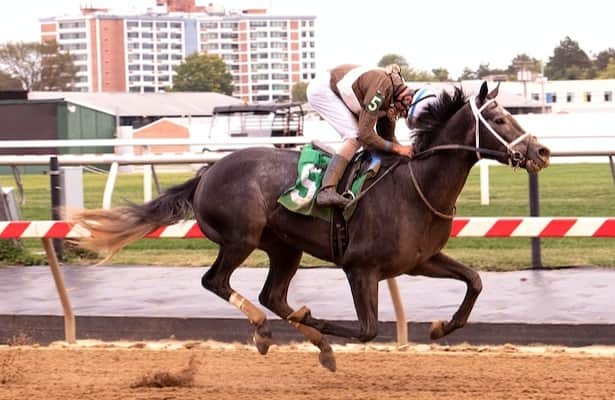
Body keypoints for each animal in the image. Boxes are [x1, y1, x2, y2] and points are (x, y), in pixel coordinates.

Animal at [71, 82, 550, 372]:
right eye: (500, 119)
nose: (542, 151)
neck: (417, 186)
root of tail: (206, 172)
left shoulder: (420, 260)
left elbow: (474, 281)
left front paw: (440, 327)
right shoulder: (361, 269)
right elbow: (367, 329)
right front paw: (315, 322)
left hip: (286, 247)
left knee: (272, 295)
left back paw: (300, 335)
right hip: (241, 237)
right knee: (217, 282)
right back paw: (267, 330)